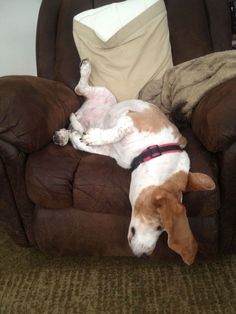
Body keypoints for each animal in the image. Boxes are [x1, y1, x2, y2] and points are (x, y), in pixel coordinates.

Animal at [53, 59, 216, 264]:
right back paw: (85, 70)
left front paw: (81, 138)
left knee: (74, 122)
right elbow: (115, 132)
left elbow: (82, 144)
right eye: (159, 226)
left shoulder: (111, 152)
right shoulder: (132, 118)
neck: (154, 150)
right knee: (80, 88)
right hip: (106, 95)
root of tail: (85, 112)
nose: (145, 255)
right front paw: (95, 136)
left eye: (162, 230)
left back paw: (64, 134)